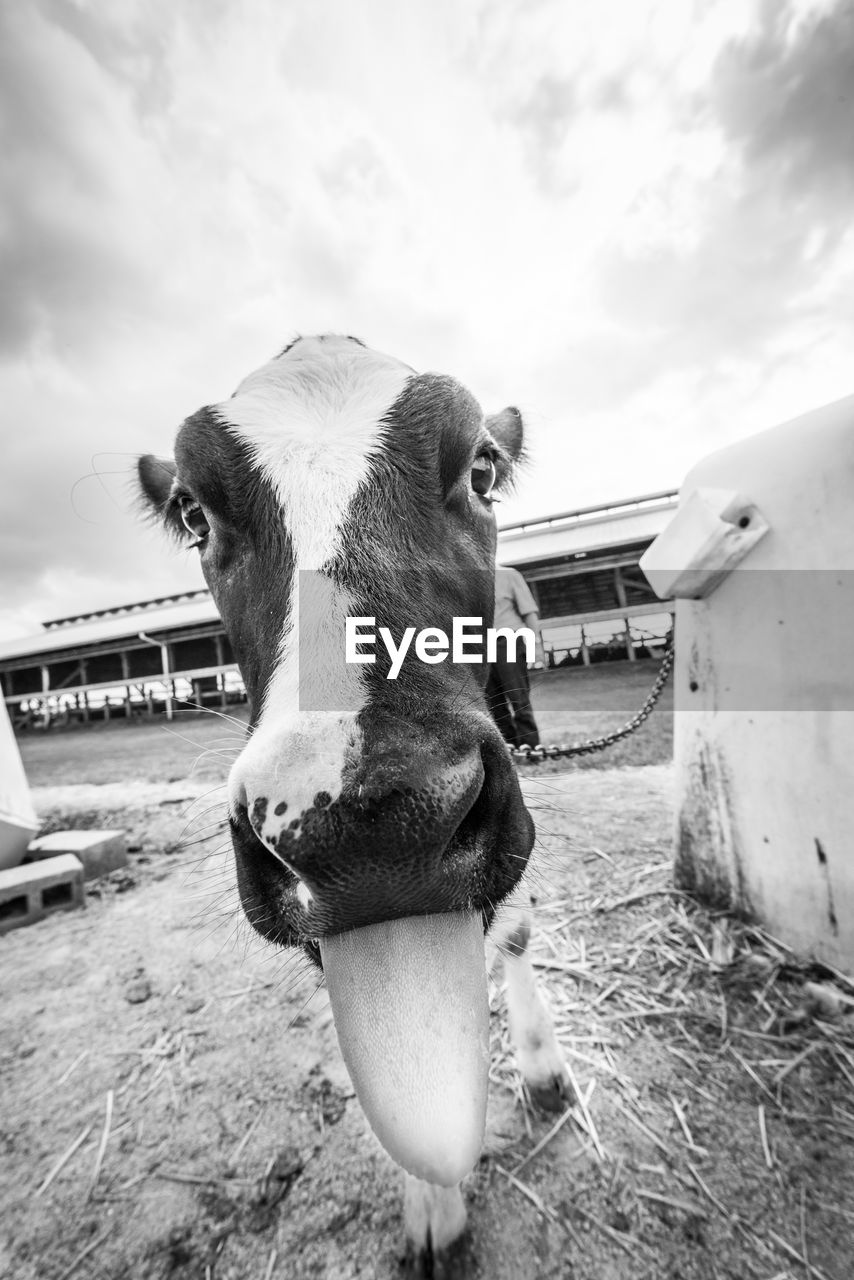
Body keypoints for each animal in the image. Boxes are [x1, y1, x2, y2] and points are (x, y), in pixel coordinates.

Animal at [138, 335, 568, 1274]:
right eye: (193, 513)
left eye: (482, 468)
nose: (377, 828)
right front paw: (432, 1205)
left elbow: (516, 928)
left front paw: (543, 1066)